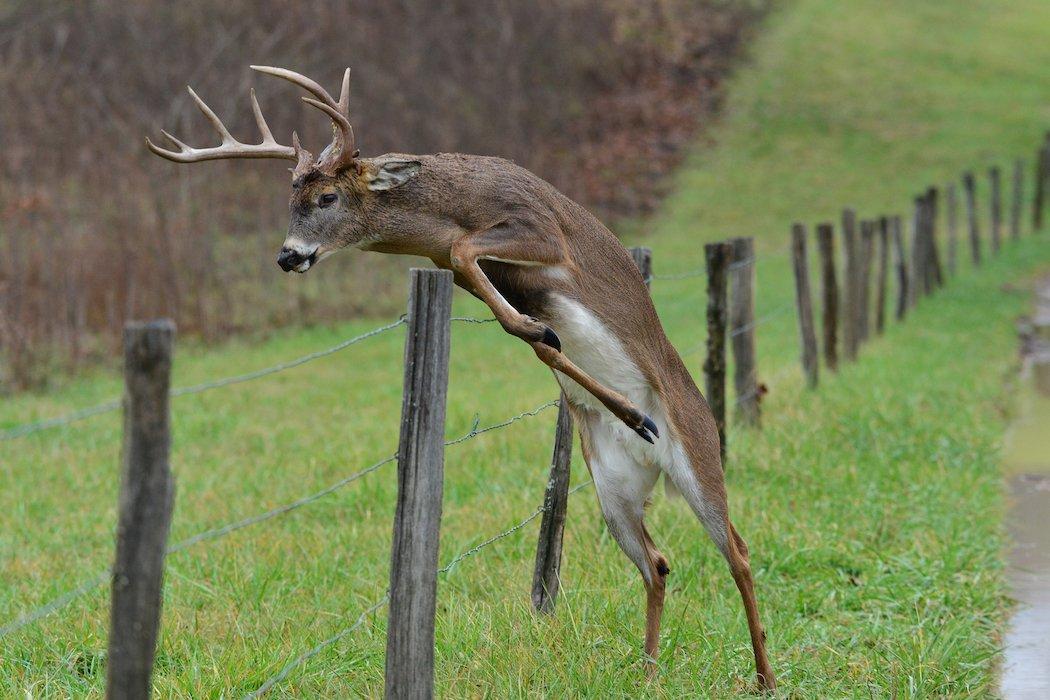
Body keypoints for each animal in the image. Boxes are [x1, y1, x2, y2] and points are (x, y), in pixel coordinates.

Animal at [148, 65, 776, 688]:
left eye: (327, 196)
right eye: (290, 200)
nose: (288, 255)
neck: (449, 206)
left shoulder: (541, 230)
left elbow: (467, 250)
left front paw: (616, 395)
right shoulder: (457, 266)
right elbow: (502, 305)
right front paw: (542, 334)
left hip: (697, 453)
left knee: (738, 549)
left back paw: (764, 675)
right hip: (612, 486)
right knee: (658, 563)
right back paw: (648, 673)